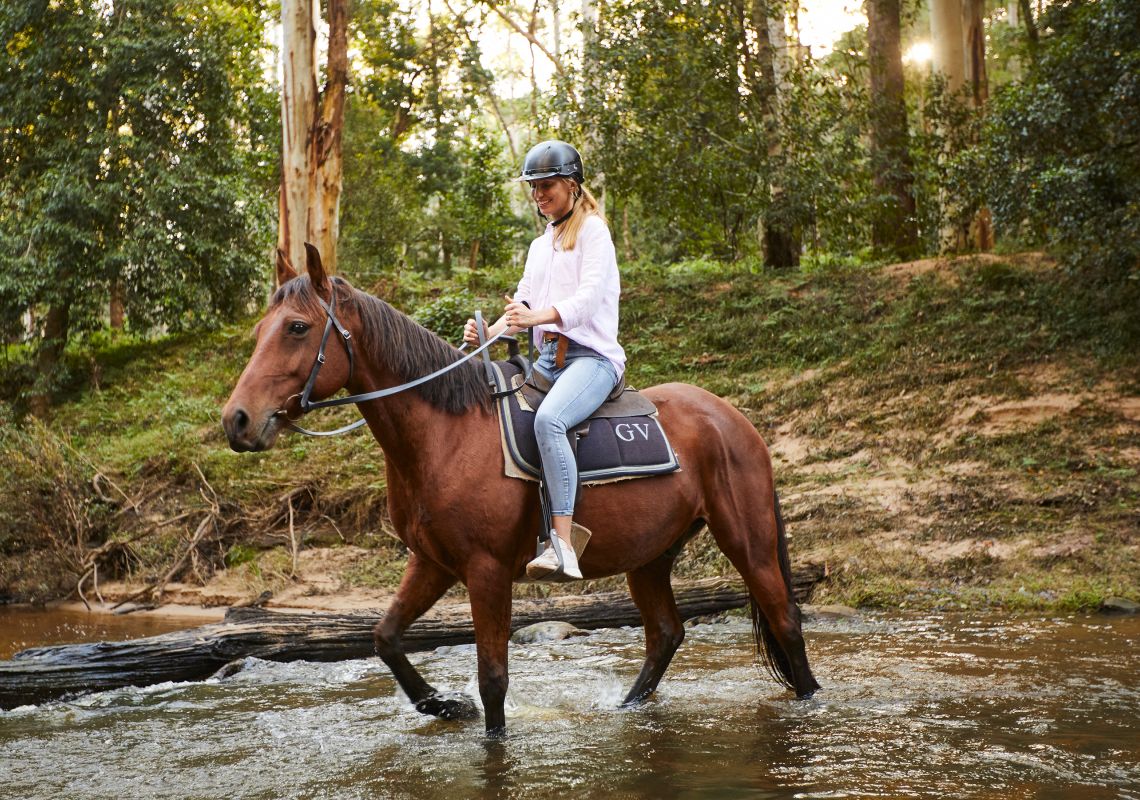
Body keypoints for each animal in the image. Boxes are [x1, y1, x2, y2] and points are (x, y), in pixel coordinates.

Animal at [217, 247, 816, 738]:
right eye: (260, 330)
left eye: (297, 327)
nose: (237, 420)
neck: (447, 432)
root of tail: (734, 420)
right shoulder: (432, 563)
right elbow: (385, 637)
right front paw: (443, 704)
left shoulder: (486, 570)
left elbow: (493, 679)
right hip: (650, 556)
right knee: (666, 635)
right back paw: (625, 709)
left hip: (747, 541)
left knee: (784, 621)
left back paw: (810, 703)